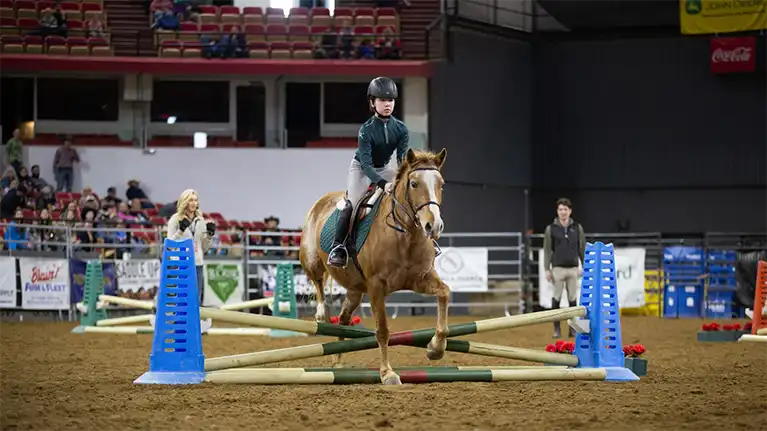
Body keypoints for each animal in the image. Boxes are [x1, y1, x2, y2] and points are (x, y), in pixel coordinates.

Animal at [299, 148, 449, 385]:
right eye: (414, 183)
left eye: (441, 184)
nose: (433, 226)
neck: (405, 236)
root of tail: (322, 201)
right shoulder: (377, 286)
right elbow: (383, 331)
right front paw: (388, 374)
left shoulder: (420, 278)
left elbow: (444, 293)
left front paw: (436, 348)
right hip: (311, 259)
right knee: (317, 280)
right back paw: (321, 313)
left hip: (355, 288)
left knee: (344, 319)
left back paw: (338, 359)